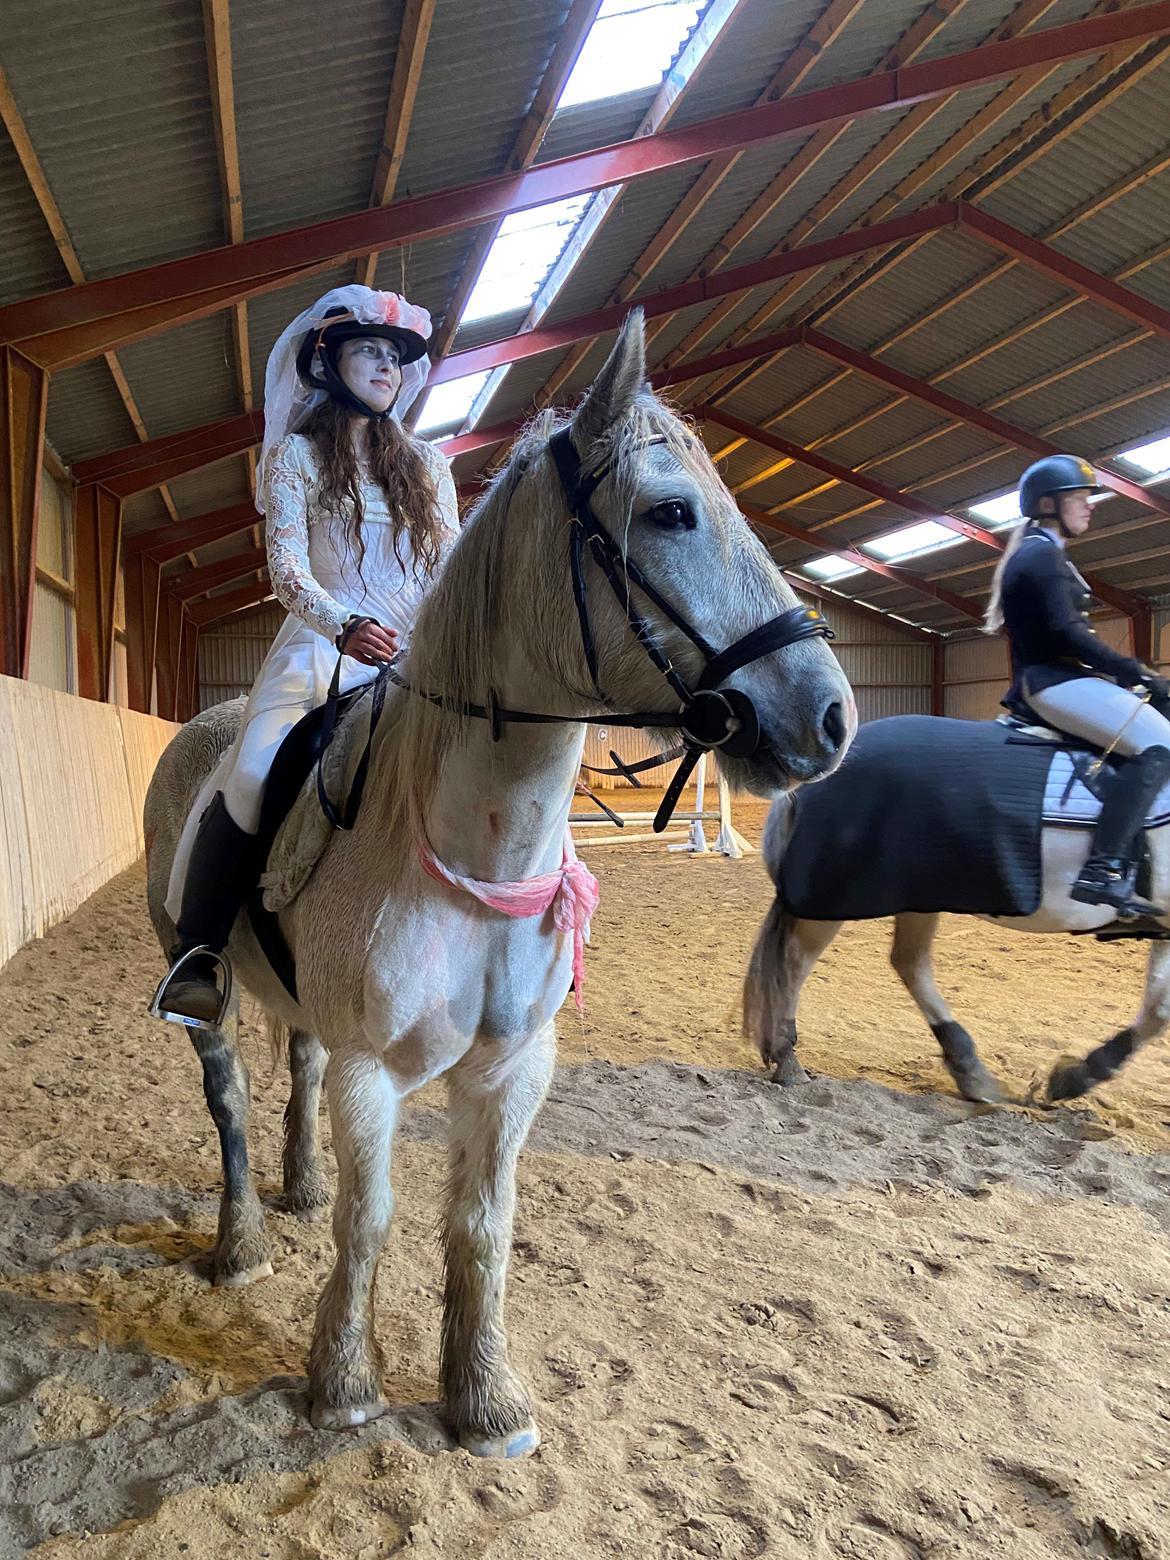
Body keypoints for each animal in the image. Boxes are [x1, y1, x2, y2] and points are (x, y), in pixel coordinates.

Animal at [148, 316, 861, 1460]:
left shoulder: (515, 1068)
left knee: (295, 1067)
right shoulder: (375, 1073)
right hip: (198, 991)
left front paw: (485, 1402)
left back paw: (297, 1188)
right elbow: (371, 1219)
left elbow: (482, 1225)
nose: (831, 719)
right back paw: (243, 1243)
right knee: (231, 1103)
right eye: (671, 512)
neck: (473, 864)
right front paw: (342, 1384)